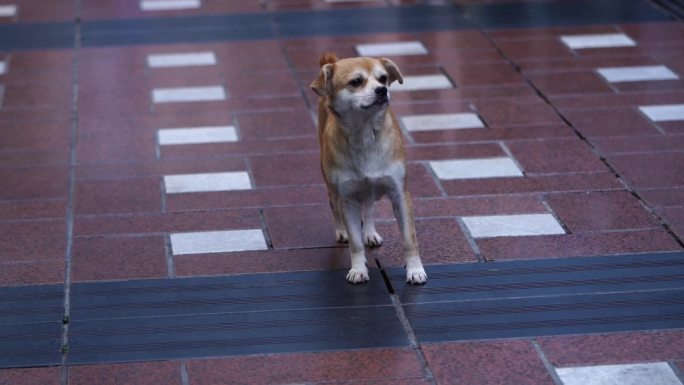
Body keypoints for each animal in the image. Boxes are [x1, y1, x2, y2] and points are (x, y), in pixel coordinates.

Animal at [312, 52, 428, 284]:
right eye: (356, 81)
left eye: (383, 78)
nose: (382, 90)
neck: (365, 133)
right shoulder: (347, 199)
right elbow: (355, 243)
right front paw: (358, 269)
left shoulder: (400, 195)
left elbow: (409, 239)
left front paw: (415, 270)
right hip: (332, 186)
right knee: (336, 206)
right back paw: (343, 231)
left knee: (370, 207)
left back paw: (370, 233)